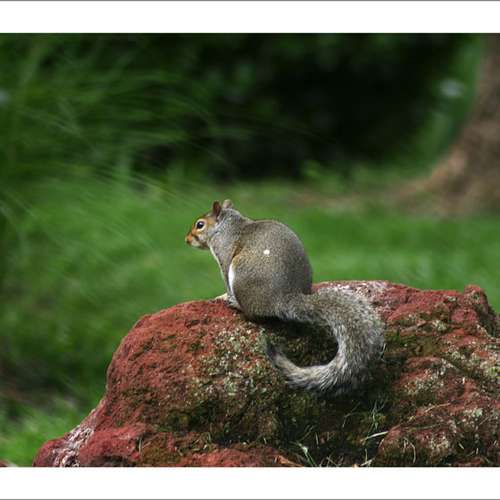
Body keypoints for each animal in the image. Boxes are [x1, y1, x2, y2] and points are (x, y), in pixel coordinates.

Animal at [185, 199, 384, 395]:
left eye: (200, 225)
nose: (186, 239)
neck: (227, 225)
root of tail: (284, 297)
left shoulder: (225, 255)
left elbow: (226, 281)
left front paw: (223, 296)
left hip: (241, 274)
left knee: (254, 316)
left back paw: (237, 305)